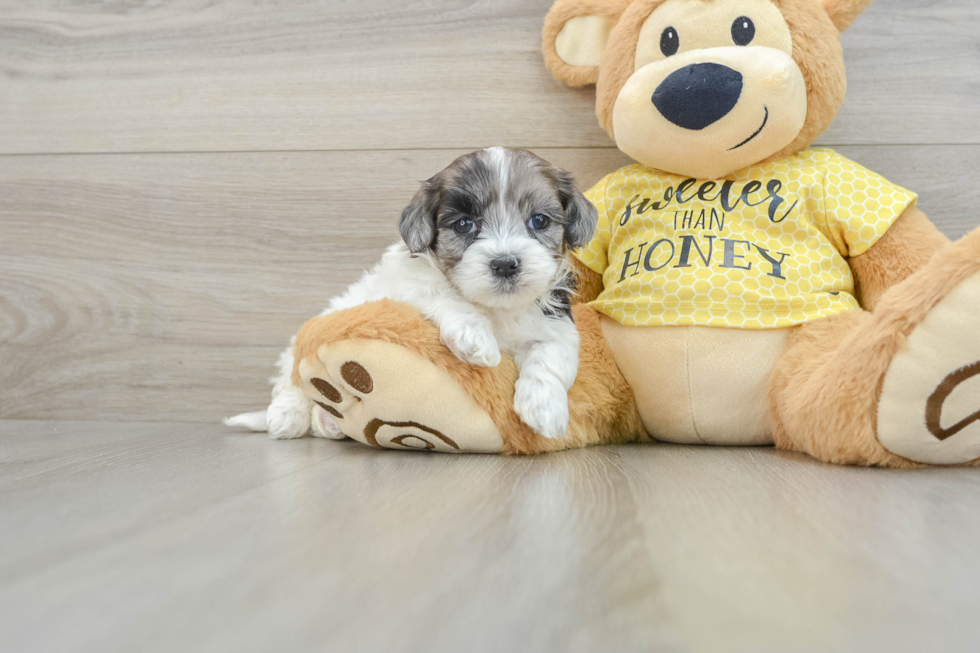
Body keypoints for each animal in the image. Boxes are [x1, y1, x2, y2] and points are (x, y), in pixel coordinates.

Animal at [228, 147, 596, 440]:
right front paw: (474, 336)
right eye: (464, 225)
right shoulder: (403, 284)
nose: (505, 263)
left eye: (539, 221)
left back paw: (327, 424)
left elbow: (552, 355)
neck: (495, 309)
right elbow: (440, 291)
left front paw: (544, 408)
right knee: (290, 380)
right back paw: (287, 416)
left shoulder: (556, 323)